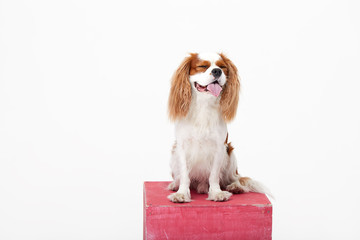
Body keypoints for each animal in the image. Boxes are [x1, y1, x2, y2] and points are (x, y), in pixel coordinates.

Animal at [167, 52, 268, 202]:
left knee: (233, 178)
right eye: (203, 66)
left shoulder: (219, 147)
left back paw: (235, 187)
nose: (217, 71)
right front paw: (181, 193)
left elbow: (214, 175)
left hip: (230, 155)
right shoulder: (182, 147)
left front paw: (216, 193)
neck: (204, 104)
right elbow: (184, 175)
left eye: (223, 67)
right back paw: (175, 184)